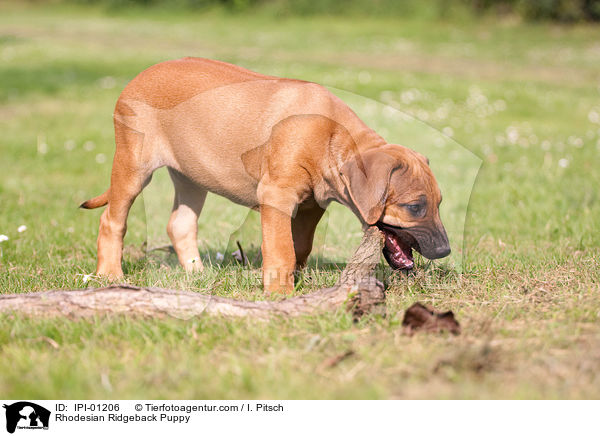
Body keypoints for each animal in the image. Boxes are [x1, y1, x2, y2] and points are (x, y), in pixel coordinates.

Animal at [83, 57, 450, 292]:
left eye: (439, 204)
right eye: (415, 207)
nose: (446, 251)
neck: (332, 137)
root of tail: (139, 76)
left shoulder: (311, 206)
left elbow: (300, 246)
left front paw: (294, 281)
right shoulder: (276, 196)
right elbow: (282, 248)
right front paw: (280, 294)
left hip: (191, 175)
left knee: (180, 224)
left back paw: (197, 274)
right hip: (133, 164)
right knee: (111, 220)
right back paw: (110, 275)